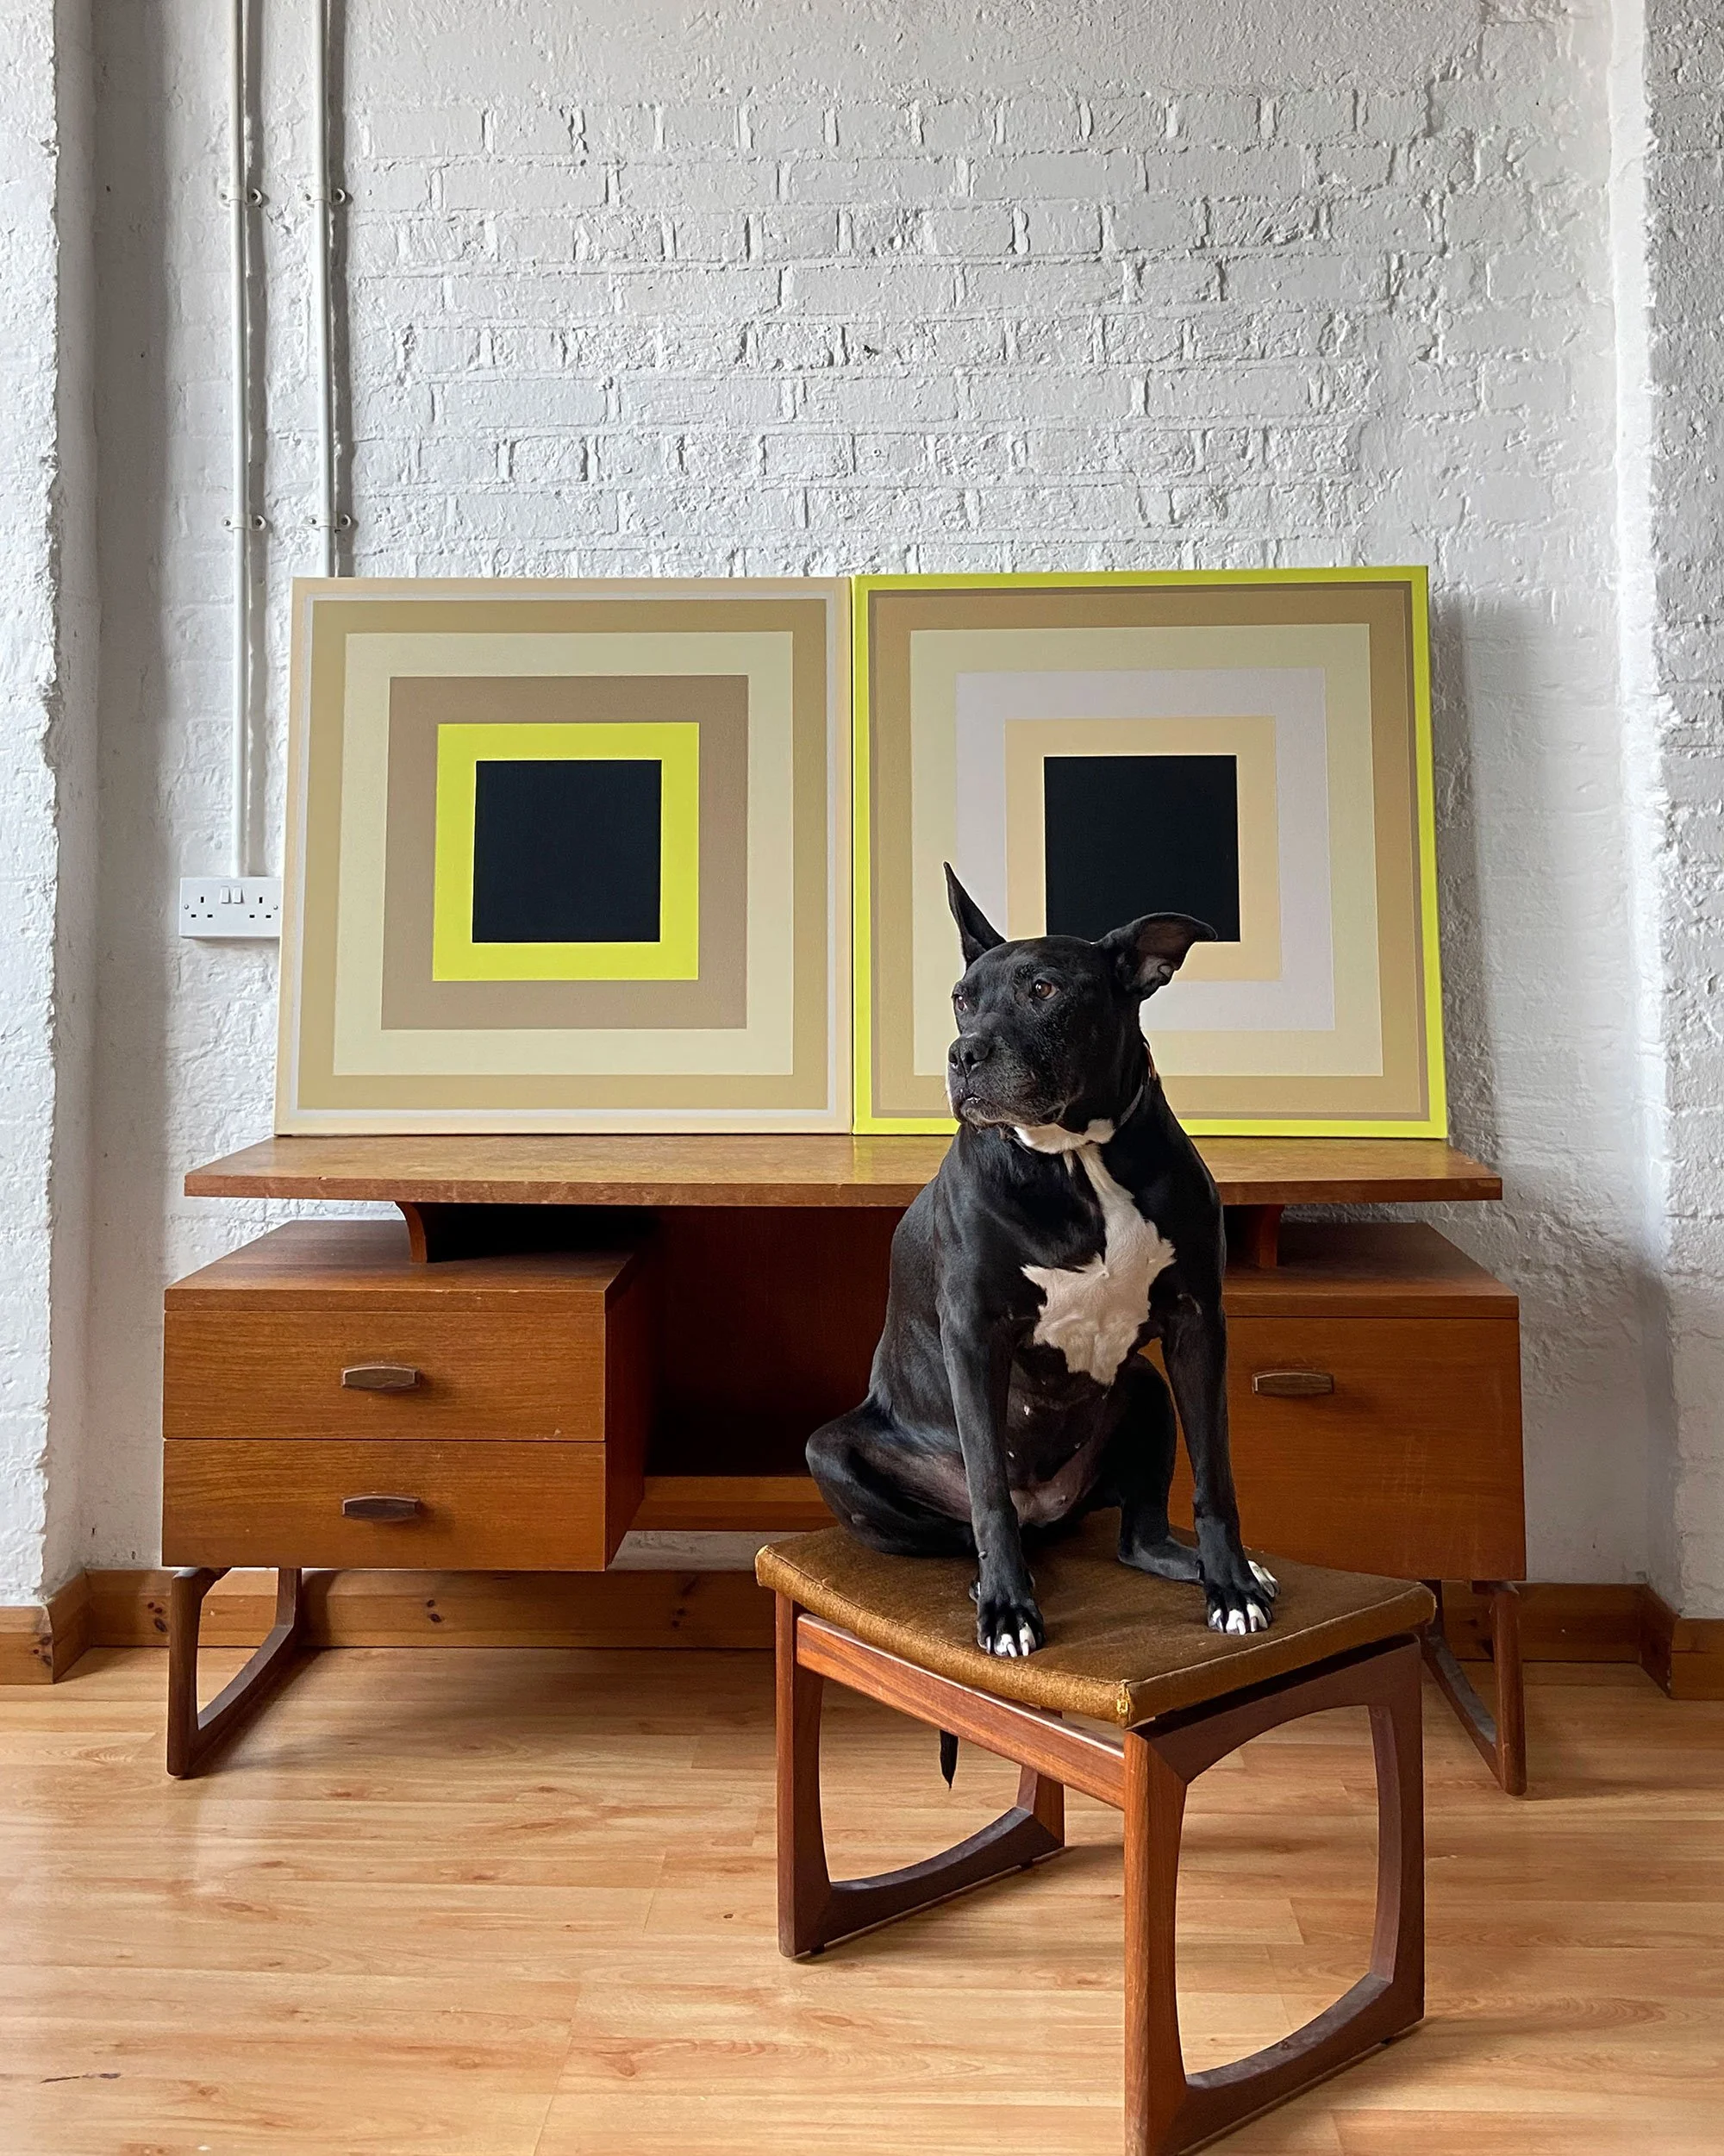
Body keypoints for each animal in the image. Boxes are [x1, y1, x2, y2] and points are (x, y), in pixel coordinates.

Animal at [808, 867, 1276, 1656]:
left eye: (1044, 989)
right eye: (962, 998)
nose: (962, 1053)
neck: (1077, 1157)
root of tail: (1048, 1510)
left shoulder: (1197, 1322)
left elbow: (1216, 1475)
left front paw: (1232, 1585)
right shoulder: (975, 1333)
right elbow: (988, 1492)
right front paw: (1007, 1608)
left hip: (1146, 1388)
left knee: (1137, 1535)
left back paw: (1196, 1565)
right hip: (830, 1451)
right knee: (976, 1522)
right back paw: (989, 1581)